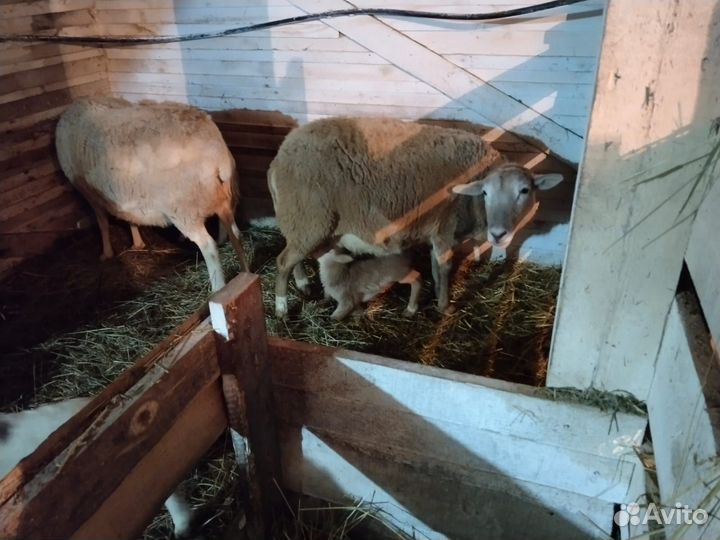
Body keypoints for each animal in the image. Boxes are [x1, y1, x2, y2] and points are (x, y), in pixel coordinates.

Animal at [55, 97, 248, 292]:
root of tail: (216, 152)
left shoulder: (89, 193)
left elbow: (102, 224)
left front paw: (106, 253)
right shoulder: (125, 196)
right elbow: (129, 218)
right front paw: (137, 243)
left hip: (184, 209)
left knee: (208, 246)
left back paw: (218, 287)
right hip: (222, 197)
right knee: (232, 229)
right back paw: (229, 249)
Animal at [268, 116, 563, 318]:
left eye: (524, 191)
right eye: (486, 193)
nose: (499, 234)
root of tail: (280, 155)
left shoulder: (436, 231)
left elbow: (433, 266)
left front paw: (434, 295)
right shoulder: (445, 227)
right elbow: (444, 267)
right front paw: (444, 306)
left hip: (303, 221)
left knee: (293, 256)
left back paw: (304, 284)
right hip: (309, 218)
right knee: (282, 261)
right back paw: (281, 307)